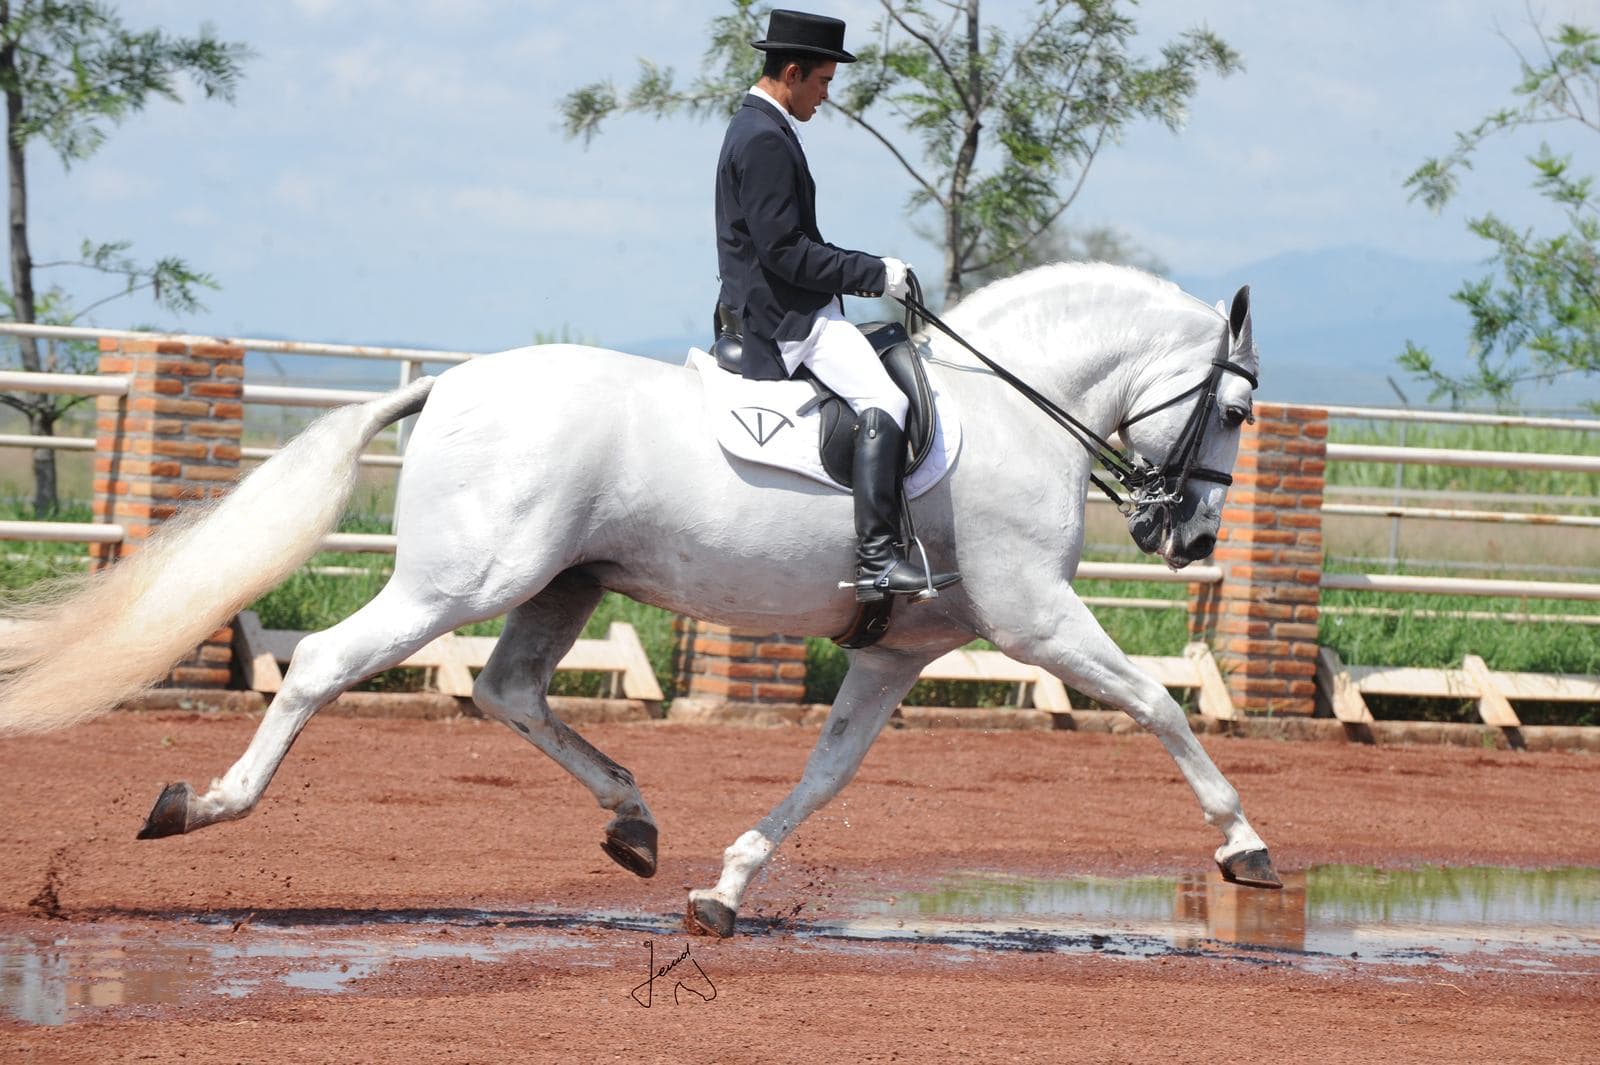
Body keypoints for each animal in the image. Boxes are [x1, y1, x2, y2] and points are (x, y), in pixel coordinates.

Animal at [0, 262, 1277, 938]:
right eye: (1235, 411)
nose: (1186, 536)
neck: (1013, 409)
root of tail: (449, 386)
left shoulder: (895, 652)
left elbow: (825, 776)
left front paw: (725, 887)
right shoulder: (1035, 618)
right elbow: (1159, 708)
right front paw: (1246, 847)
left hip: (559, 585)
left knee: (511, 692)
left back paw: (633, 820)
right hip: (466, 578)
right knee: (325, 665)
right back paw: (198, 806)